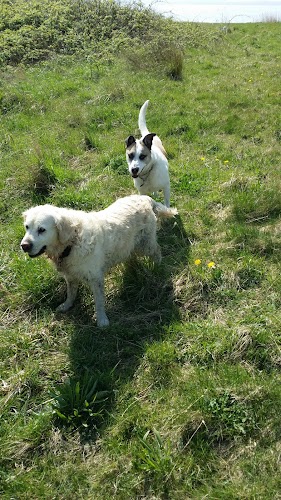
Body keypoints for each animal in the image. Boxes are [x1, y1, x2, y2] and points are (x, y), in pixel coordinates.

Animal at [20, 195, 176, 328]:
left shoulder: (95, 278)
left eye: (42, 230)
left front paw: (102, 320)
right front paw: (66, 305)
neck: (72, 242)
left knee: (157, 252)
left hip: (146, 245)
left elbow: (99, 302)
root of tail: (144, 197)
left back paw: (158, 267)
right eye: (27, 227)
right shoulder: (70, 276)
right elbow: (71, 293)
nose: (24, 245)